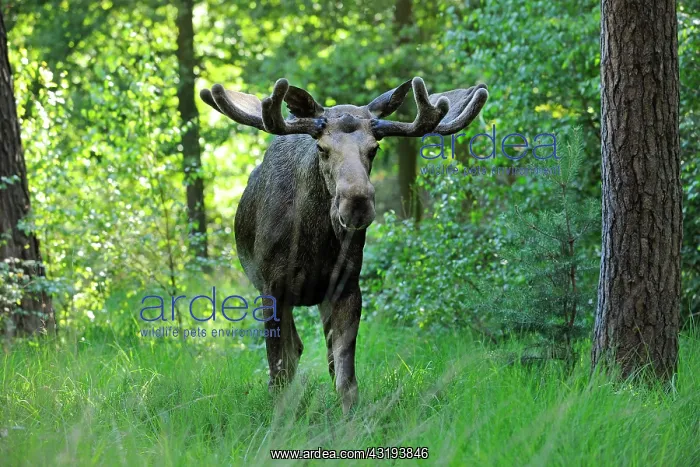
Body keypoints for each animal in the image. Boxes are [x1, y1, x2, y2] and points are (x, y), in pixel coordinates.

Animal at [200, 77, 488, 414]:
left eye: (374, 148)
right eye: (322, 148)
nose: (357, 203)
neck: (311, 245)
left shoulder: (347, 285)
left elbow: (345, 376)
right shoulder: (272, 286)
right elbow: (279, 367)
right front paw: (280, 413)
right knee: (292, 351)